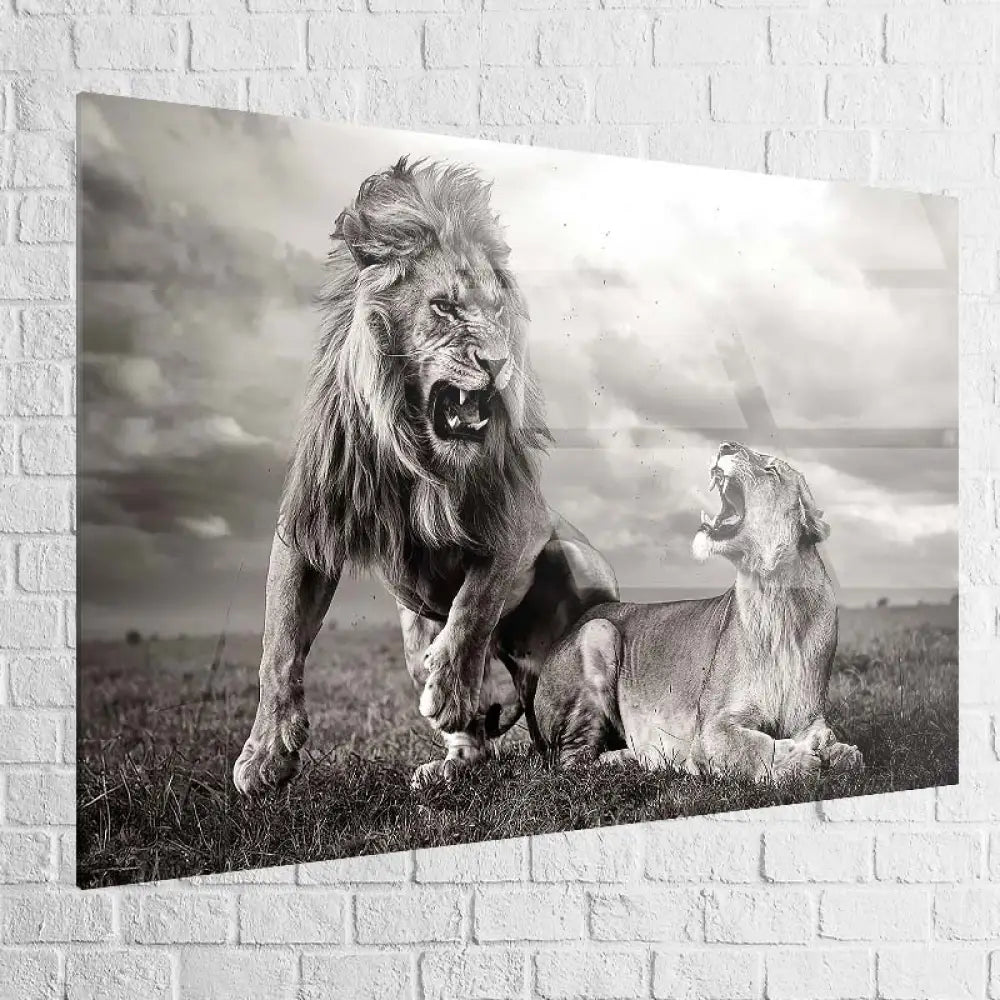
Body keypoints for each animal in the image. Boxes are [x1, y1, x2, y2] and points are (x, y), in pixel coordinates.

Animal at [233, 157, 618, 794]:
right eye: (443, 307)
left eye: (498, 311)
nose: (496, 361)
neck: (419, 456)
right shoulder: (308, 525)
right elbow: (279, 642)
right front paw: (265, 752)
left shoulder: (519, 519)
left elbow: (478, 601)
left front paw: (452, 684)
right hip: (414, 628)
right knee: (461, 704)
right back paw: (454, 763)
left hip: (579, 569)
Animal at [532, 442, 863, 782]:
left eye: (772, 470)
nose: (727, 445)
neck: (776, 597)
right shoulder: (712, 728)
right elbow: (752, 746)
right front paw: (797, 759)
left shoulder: (808, 716)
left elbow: (846, 752)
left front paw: (834, 749)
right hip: (598, 630)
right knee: (573, 761)